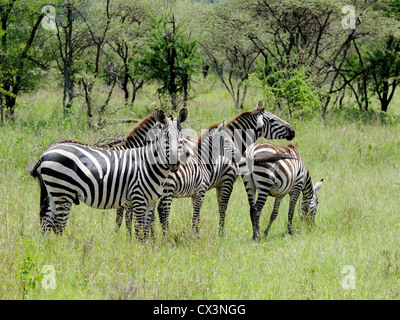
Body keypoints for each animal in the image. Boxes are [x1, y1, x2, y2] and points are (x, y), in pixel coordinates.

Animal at [29, 108, 189, 240]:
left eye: (181, 137)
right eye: (166, 138)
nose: (175, 164)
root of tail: (45, 153)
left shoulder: (144, 200)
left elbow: (140, 225)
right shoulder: (135, 198)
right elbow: (129, 223)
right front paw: (127, 242)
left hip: (53, 192)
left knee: (46, 221)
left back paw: (49, 248)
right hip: (63, 192)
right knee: (58, 225)